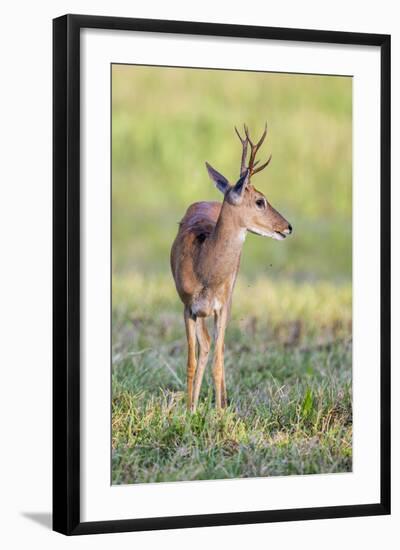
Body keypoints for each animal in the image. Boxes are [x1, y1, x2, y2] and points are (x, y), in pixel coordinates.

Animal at [170, 123, 292, 412]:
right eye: (260, 200)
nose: (287, 227)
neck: (204, 268)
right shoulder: (187, 307)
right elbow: (192, 360)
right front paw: (188, 411)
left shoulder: (222, 306)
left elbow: (217, 360)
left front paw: (219, 412)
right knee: (205, 347)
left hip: (228, 300)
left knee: (218, 350)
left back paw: (222, 402)